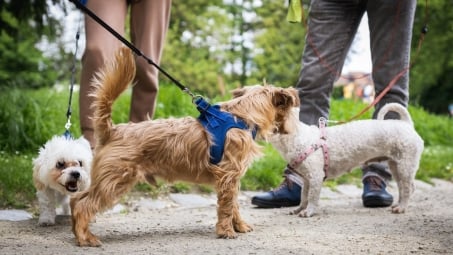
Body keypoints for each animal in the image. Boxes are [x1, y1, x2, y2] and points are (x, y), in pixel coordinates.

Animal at [69, 46, 296, 246]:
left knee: (76, 199)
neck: (241, 116)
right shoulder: (228, 176)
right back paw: (84, 237)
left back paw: (77, 232)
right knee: (83, 205)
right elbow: (227, 206)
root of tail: (113, 130)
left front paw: (239, 226)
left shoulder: (232, 178)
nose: (293, 127)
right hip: (115, 180)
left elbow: (234, 205)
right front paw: (226, 231)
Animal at [266, 102, 422, 218]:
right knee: (403, 187)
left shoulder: (316, 177)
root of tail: (407, 124)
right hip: (395, 165)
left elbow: (312, 197)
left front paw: (308, 212)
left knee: (408, 188)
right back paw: (398, 205)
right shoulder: (306, 179)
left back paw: (401, 208)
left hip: (405, 165)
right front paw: (299, 209)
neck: (297, 138)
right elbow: (304, 196)